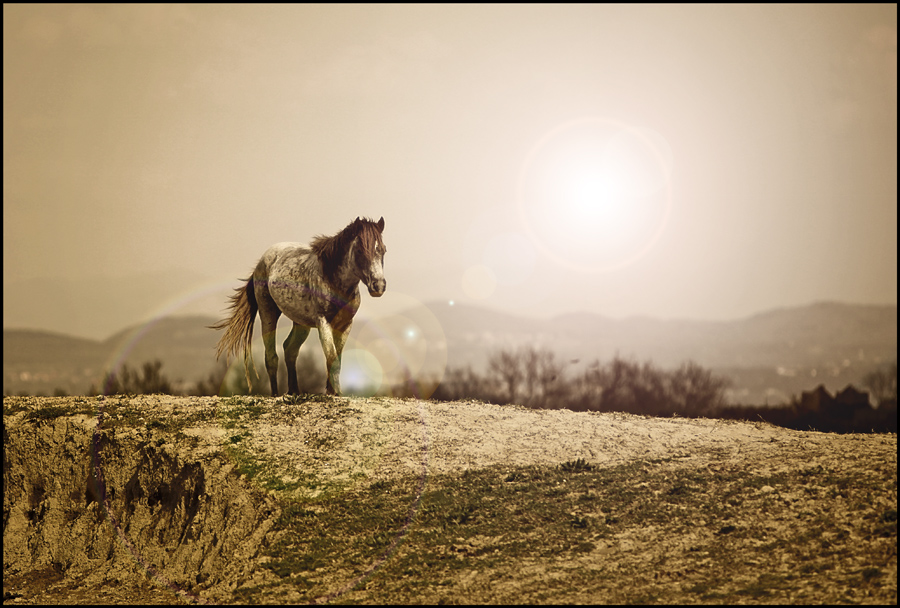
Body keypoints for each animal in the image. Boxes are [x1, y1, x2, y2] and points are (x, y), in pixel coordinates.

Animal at [211, 216, 386, 396]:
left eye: (383, 250)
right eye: (360, 251)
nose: (378, 286)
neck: (334, 281)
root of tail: (262, 261)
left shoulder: (345, 325)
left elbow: (337, 358)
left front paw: (333, 391)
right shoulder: (323, 322)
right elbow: (332, 357)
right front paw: (335, 392)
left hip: (301, 324)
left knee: (290, 350)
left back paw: (294, 391)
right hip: (268, 313)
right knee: (271, 356)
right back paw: (276, 394)